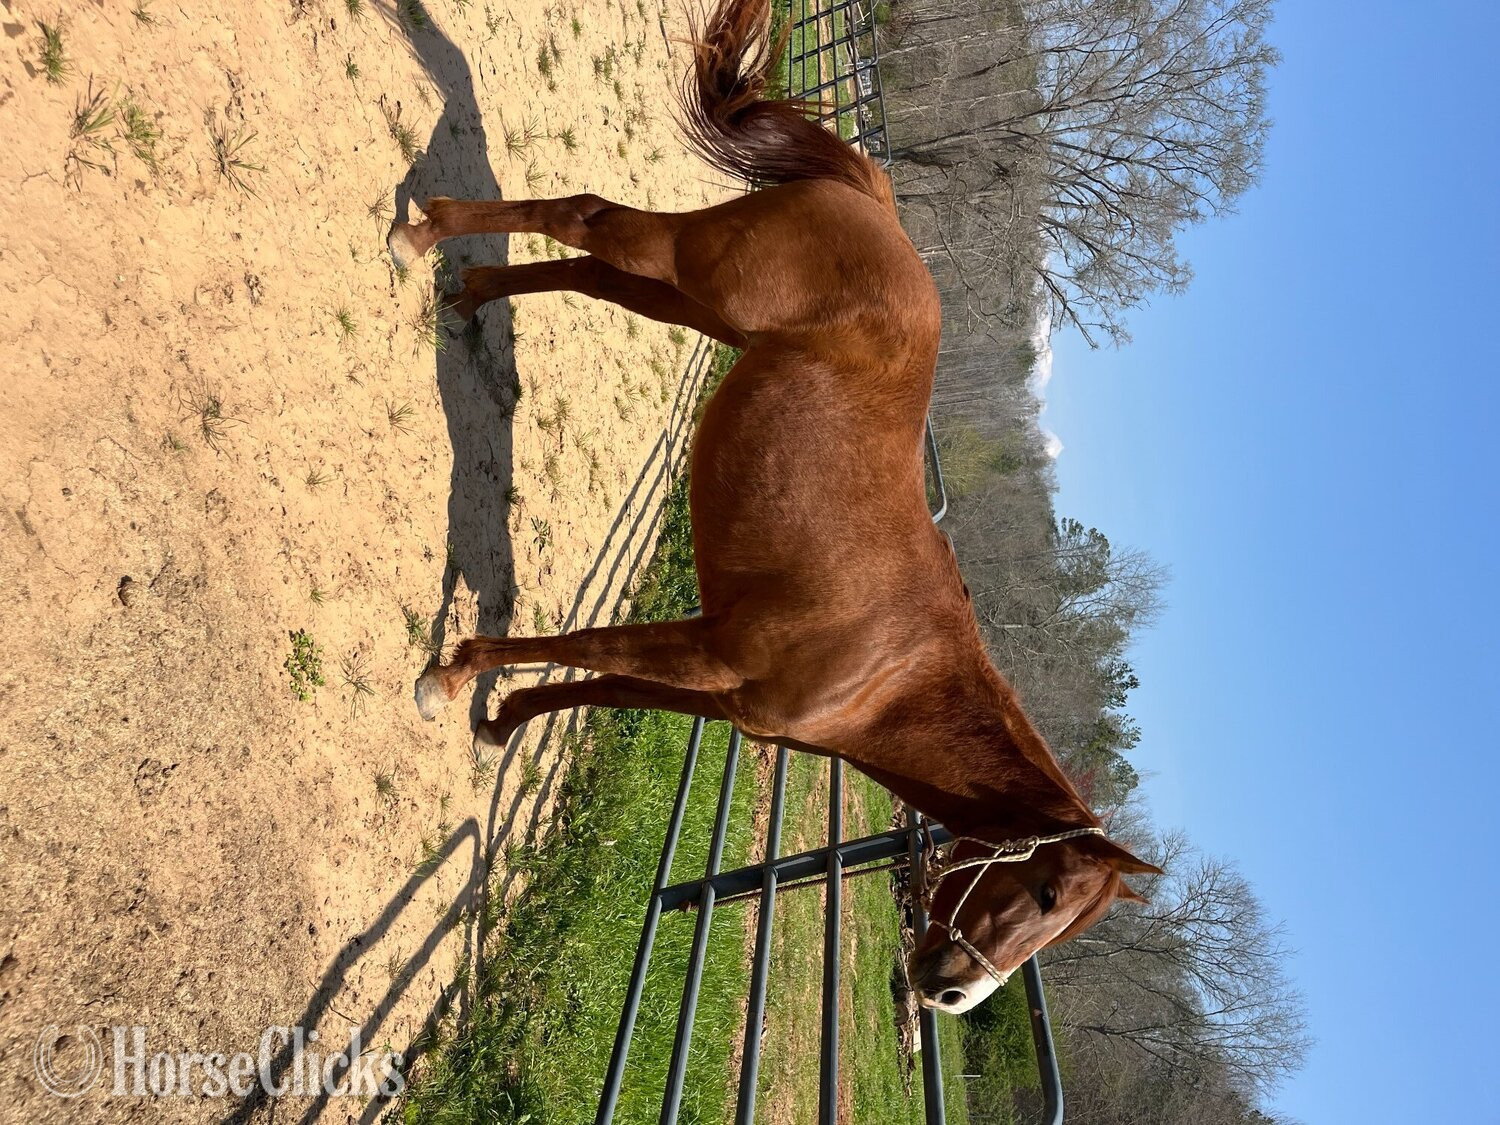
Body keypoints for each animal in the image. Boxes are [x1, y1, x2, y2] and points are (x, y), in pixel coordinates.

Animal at [388, 0, 1160, 1015]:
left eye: (1064, 922)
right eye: (1044, 894)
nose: (951, 993)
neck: (888, 672)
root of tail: (876, 202)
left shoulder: (719, 692)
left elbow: (597, 682)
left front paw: (500, 721)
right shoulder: (709, 647)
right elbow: (587, 646)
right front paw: (451, 679)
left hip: (696, 306)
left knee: (591, 272)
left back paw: (468, 292)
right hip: (697, 268)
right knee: (586, 215)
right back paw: (422, 237)